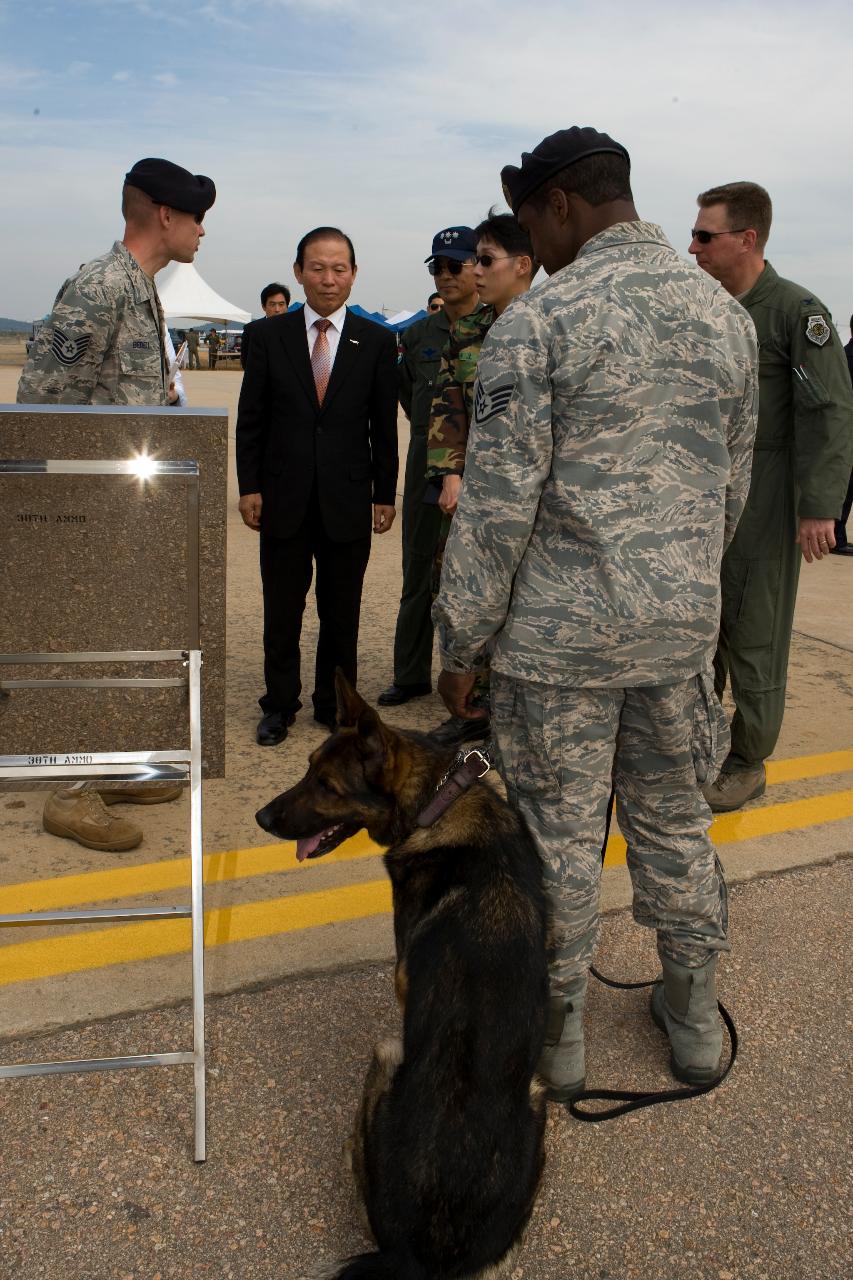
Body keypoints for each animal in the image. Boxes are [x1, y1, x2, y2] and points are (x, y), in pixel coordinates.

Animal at [253, 675, 545, 1274]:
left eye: (326, 784)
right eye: (306, 766)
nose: (261, 820)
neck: (438, 802)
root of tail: (420, 1258)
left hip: (388, 1055)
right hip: (536, 1094)